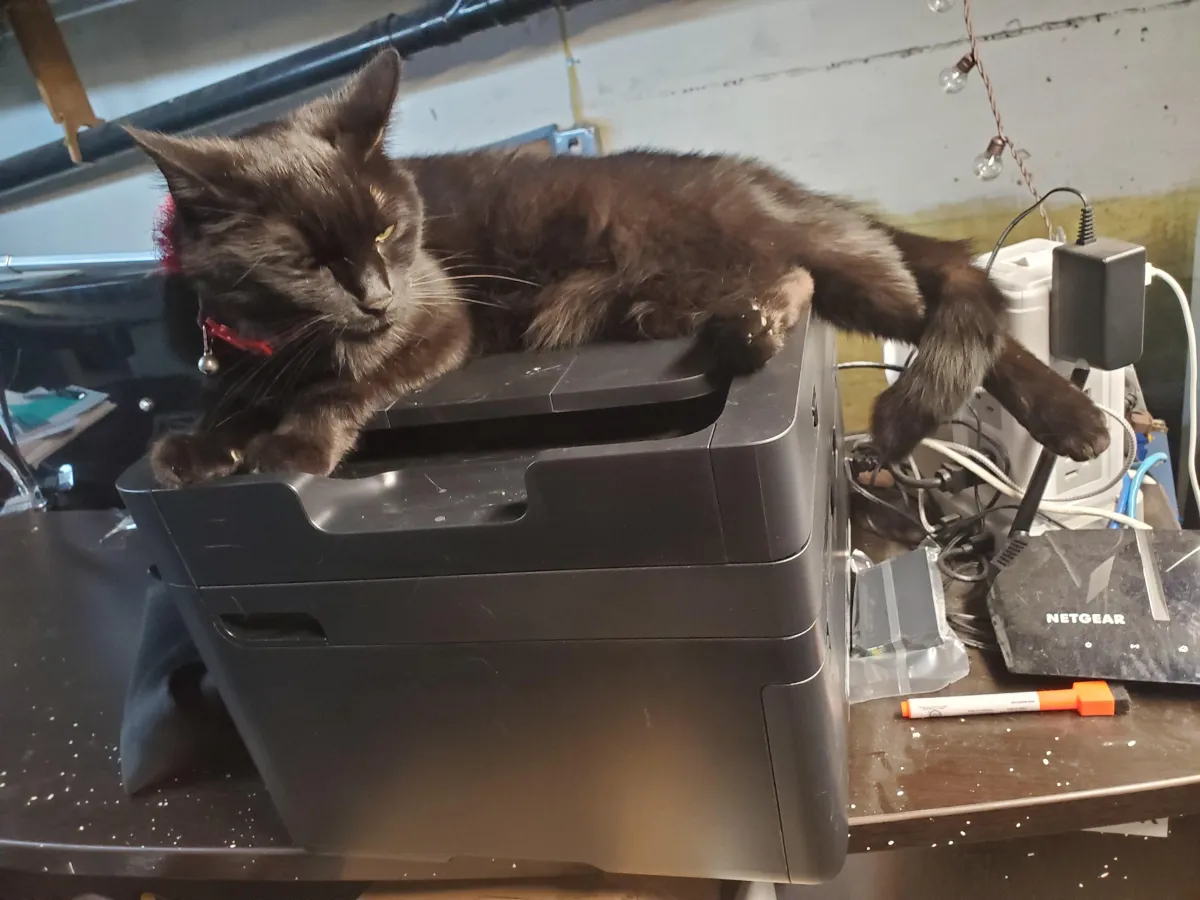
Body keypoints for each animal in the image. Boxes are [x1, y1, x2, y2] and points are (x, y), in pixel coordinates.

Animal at [131, 49, 1104, 487]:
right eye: (302, 260)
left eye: (389, 233)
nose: (373, 298)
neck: (279, 339)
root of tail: (774, 181)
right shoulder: (238, 351)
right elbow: (226, 395)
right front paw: (198, 443)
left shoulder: (434, 317)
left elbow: (345, 382)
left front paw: (289, 443)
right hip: (650, 302)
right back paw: (753, 328)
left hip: (819, 264)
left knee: (944, 307)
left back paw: (1072, 419)